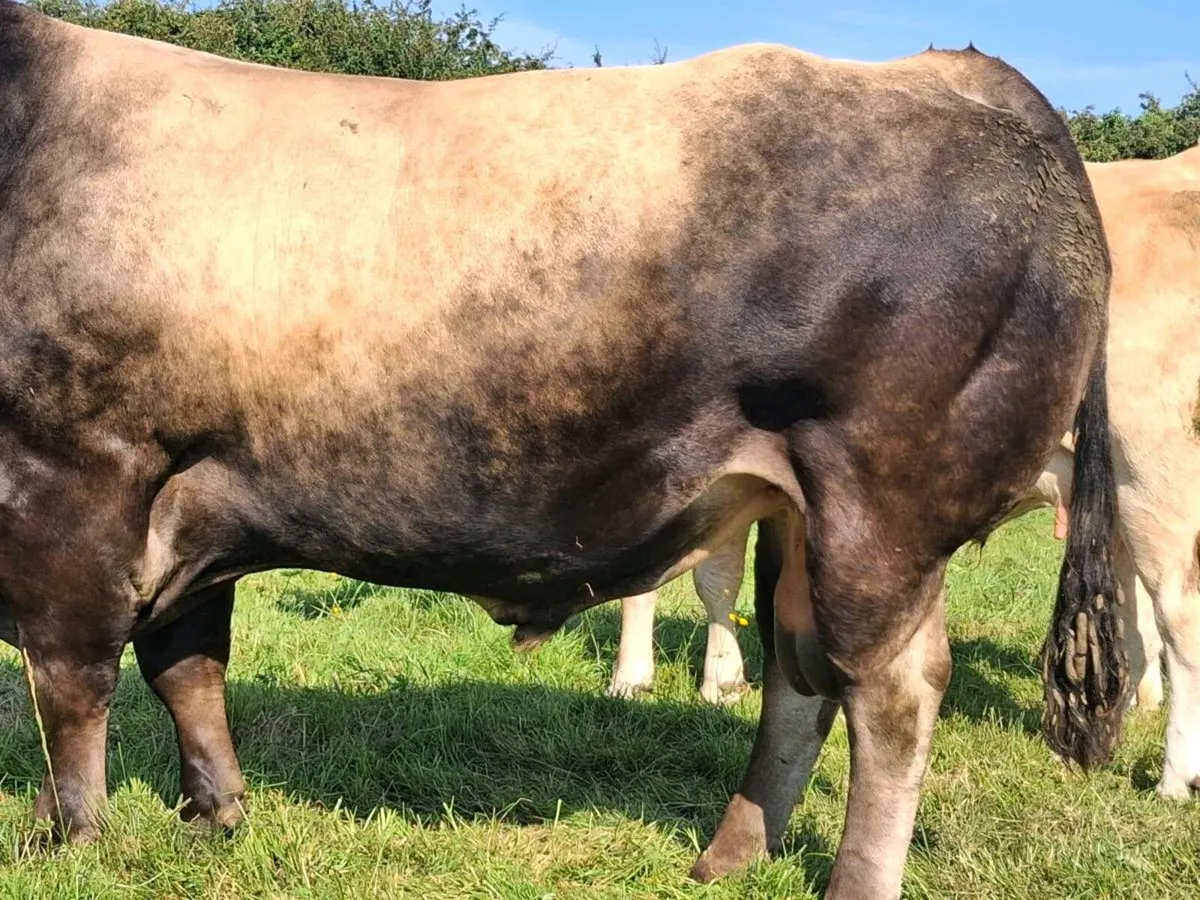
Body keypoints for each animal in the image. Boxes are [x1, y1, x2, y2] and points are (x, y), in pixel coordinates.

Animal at [0, 5, 1124, 897]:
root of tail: (952, 71)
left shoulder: (73, 473)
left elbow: (75, 679)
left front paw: (68, 841)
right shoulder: (192, 492)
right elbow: (186, 669)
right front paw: (212, 816)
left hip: (880, 504)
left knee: (891, 690)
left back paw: (848, 880)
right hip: (804, 515)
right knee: (800, 674)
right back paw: (727, 856)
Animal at [610, 146, 1200, 802]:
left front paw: (634, 676)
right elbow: (718, 577)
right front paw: (722, 679)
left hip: (1151, 470)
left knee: (1180, 616)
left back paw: (1175, 775)